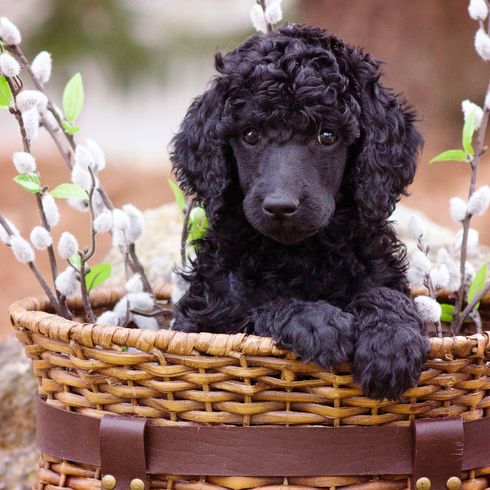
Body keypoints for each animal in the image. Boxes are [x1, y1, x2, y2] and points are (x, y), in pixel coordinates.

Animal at [171, 23, 428, 400]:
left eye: (327, 135)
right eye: (250, 134)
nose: (280, 206)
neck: (300, 255)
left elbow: (386, 295)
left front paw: (391, 342)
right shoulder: (204, 322)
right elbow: (256, 312)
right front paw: (315, 321)